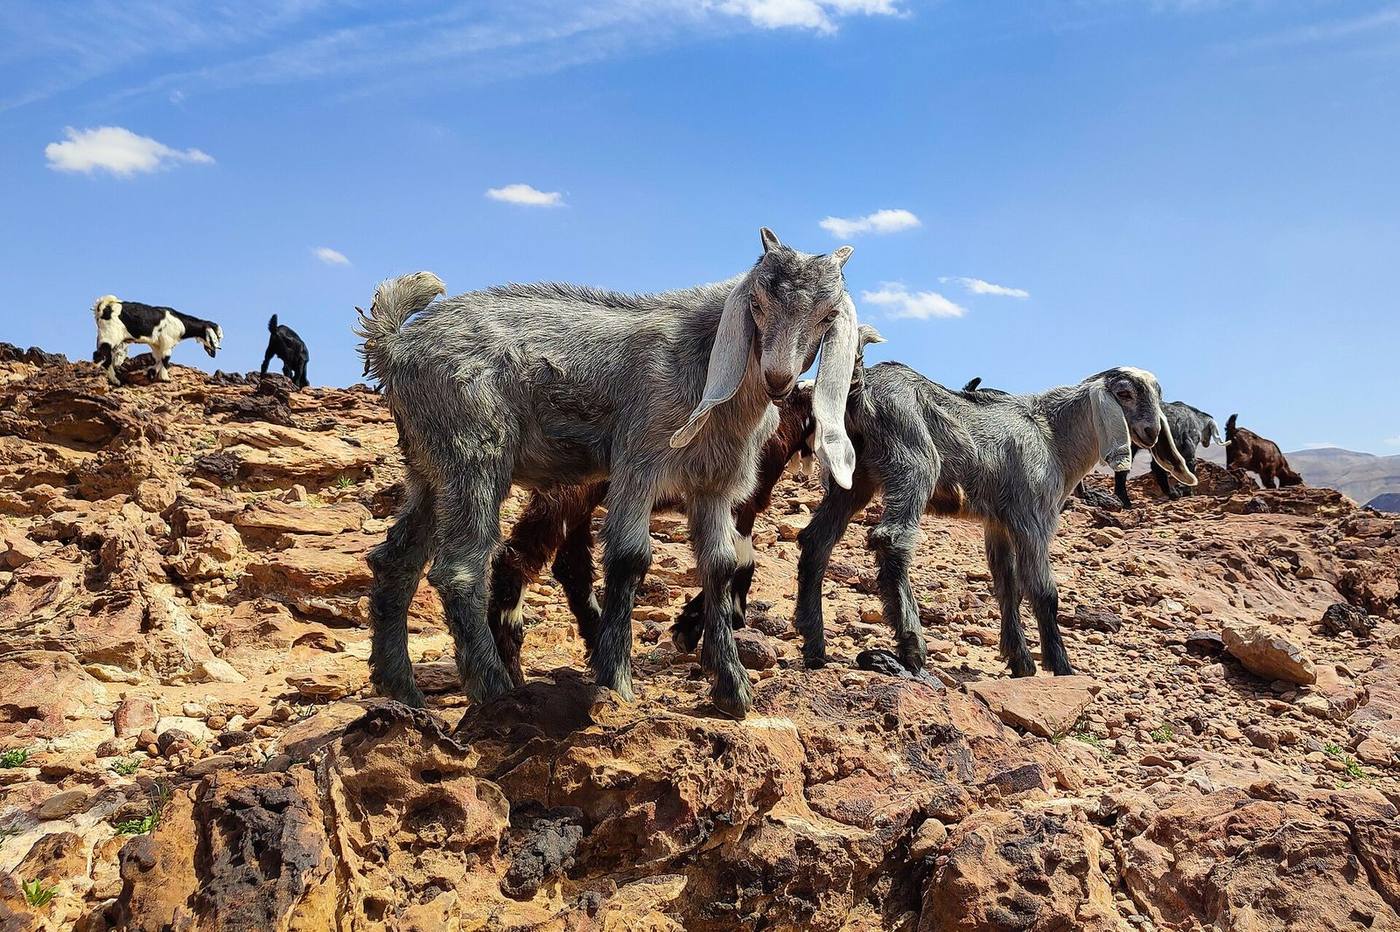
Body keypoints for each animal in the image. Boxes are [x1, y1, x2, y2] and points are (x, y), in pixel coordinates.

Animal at [92, 296, 222, 386]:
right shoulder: (167, 343)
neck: (180, 322)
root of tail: (104, 306)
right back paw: (113, 380)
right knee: (101, 356)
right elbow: (166, 359)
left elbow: (159, 359)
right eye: (218, 336)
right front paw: (165, 378)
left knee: (104, 356)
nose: (218, 349)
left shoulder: (156, 344)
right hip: (110, 336)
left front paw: (151, 373)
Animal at [484, 325, 886, 683]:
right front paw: (697, 626)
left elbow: (736, 562)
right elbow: (740, 562)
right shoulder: (738, 503)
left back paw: (597, 644)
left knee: (570, 566)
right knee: (516, 558)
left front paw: (699, 624)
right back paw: (512, 672)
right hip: (567, 493)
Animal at [794, 366, 1196, 678]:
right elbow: (1043, 591)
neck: (1053, 438)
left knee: (816, 539)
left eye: (1158, 395)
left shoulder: (999, 523)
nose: (1151, 433)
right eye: (1125, 393)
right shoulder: (1034, 517)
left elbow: (1007, 586)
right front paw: (1060, 665)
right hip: (913, 463)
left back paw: (814, 644)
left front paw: (1021, 662)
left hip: (853, 475)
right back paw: (912, 649)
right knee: (890, 539)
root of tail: (860, 387)